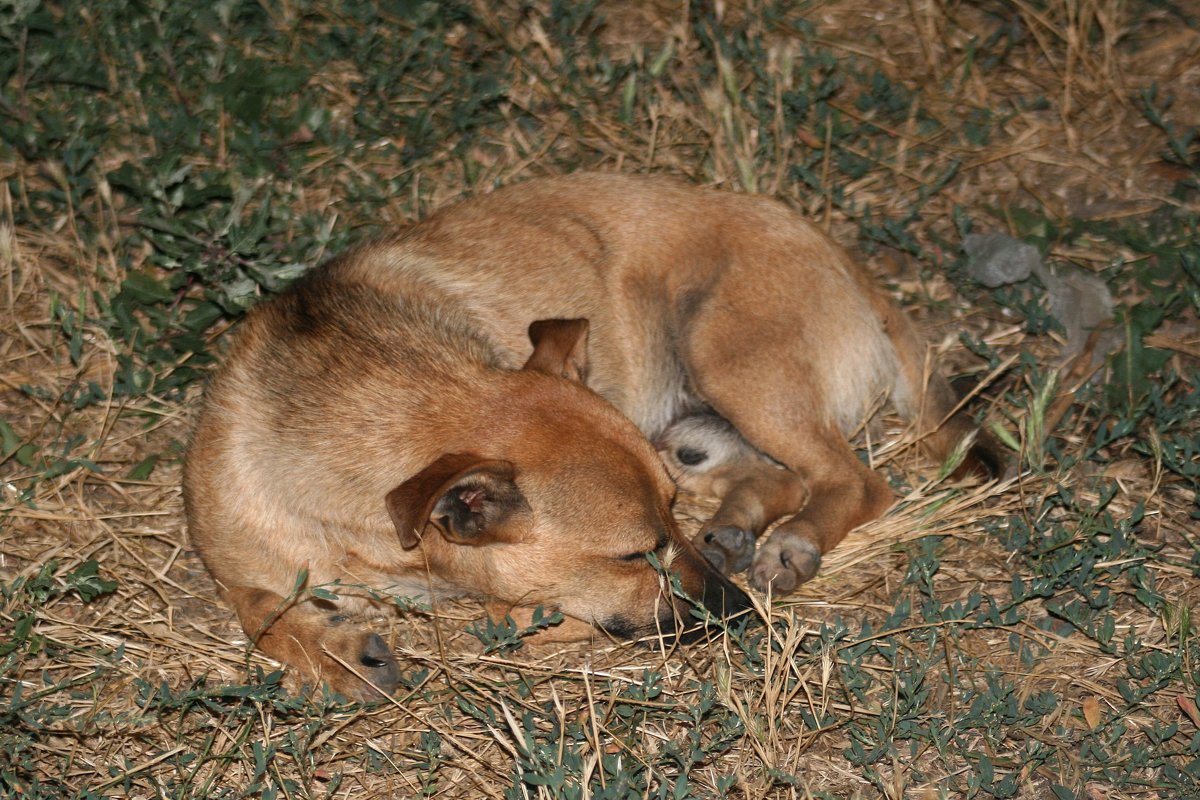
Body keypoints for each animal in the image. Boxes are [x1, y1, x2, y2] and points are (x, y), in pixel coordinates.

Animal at [184, 172, 993, 695]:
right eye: (636, 552)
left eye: (670, 520)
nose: (739, 612)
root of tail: (842, 256)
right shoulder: (236, 557)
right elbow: (258, 609)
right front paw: (335, 649)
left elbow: (504, 618)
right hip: (694, 424)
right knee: (783, 474)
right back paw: (738, 530)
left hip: (731, 360)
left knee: (854, 479)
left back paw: (789, 543)